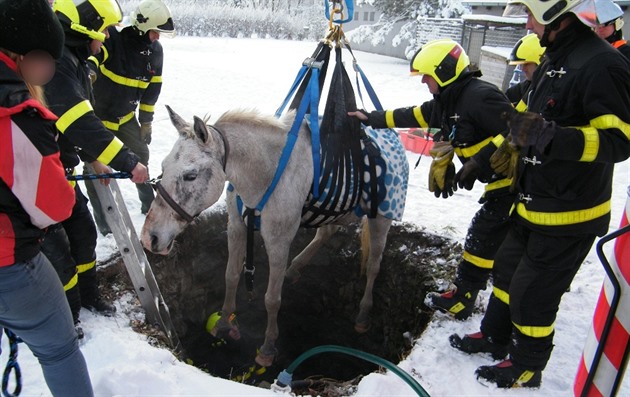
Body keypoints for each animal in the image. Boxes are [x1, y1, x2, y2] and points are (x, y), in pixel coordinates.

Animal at [141, 104, 410, 366]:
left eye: (190, 175)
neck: (264, 173)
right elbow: (231, 276)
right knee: (327, 230)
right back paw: (295, 268)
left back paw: (363, 313)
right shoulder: (236, 227)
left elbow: (272, 298)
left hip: (381, 217)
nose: (149, 238)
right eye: (163, 167)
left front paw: (268, 347)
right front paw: (224, 323)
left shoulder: (278, 240)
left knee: (374, 265)